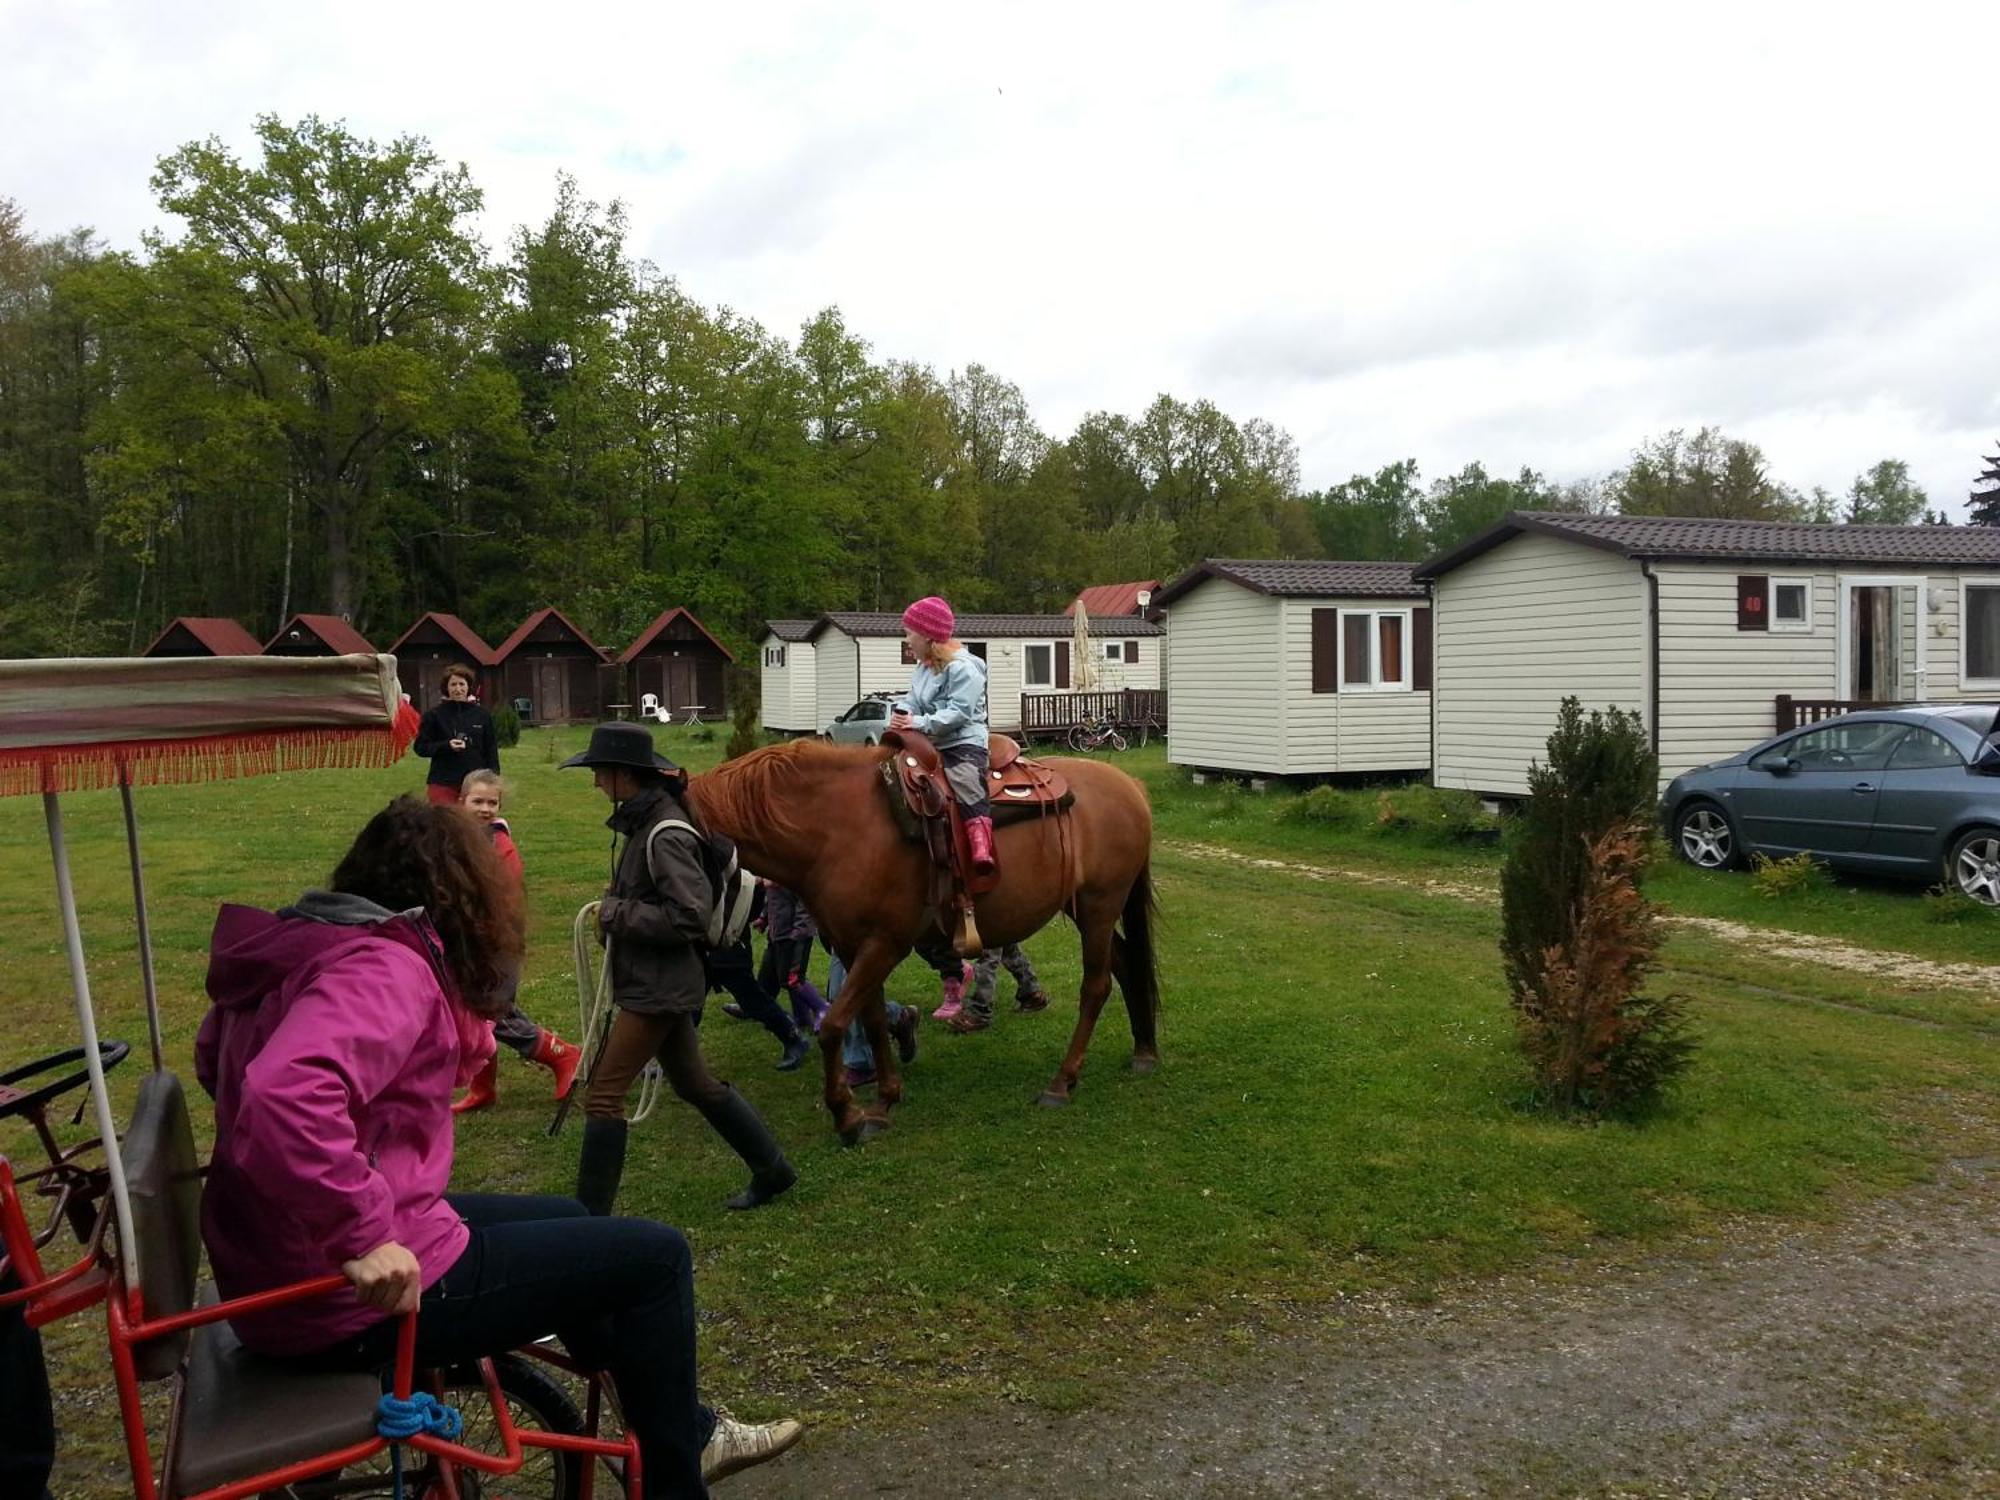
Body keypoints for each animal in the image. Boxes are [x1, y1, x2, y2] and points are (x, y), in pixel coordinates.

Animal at [688, 748, 1160, 1144]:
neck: (837, 829)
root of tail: (1130, 785)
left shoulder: (884, 945)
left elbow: (834, 1025)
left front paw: (847, 1116)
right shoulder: (852, 947)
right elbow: (873, 1020)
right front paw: (884, 1101)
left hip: (1100, 906)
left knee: (1096, 987)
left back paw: (1062, 1082)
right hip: (1085, 908)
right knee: (1126, 964)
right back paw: (1144, 1050)